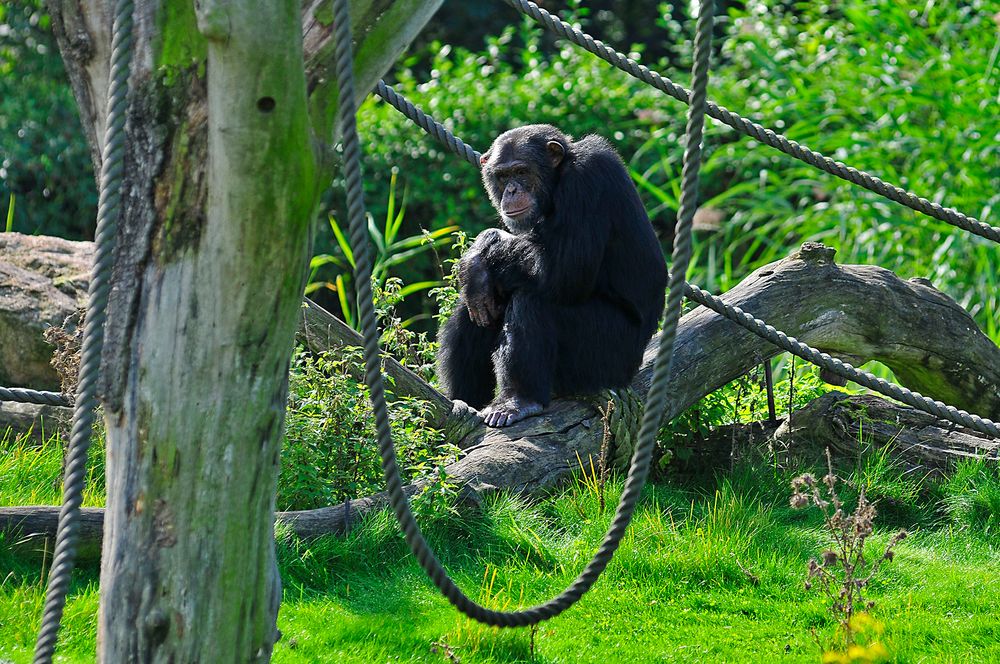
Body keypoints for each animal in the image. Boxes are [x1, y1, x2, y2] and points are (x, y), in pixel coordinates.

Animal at [436, 124, 664, 426]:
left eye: (521, 171)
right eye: (503, 176)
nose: (511, 190)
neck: (557, 181)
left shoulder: (586, 180)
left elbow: (563, 269)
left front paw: (483, 247)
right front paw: (475, 264)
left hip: (605, 357)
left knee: (532, 301)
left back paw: (517, 401)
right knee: (479, 303)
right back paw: (463, 405)